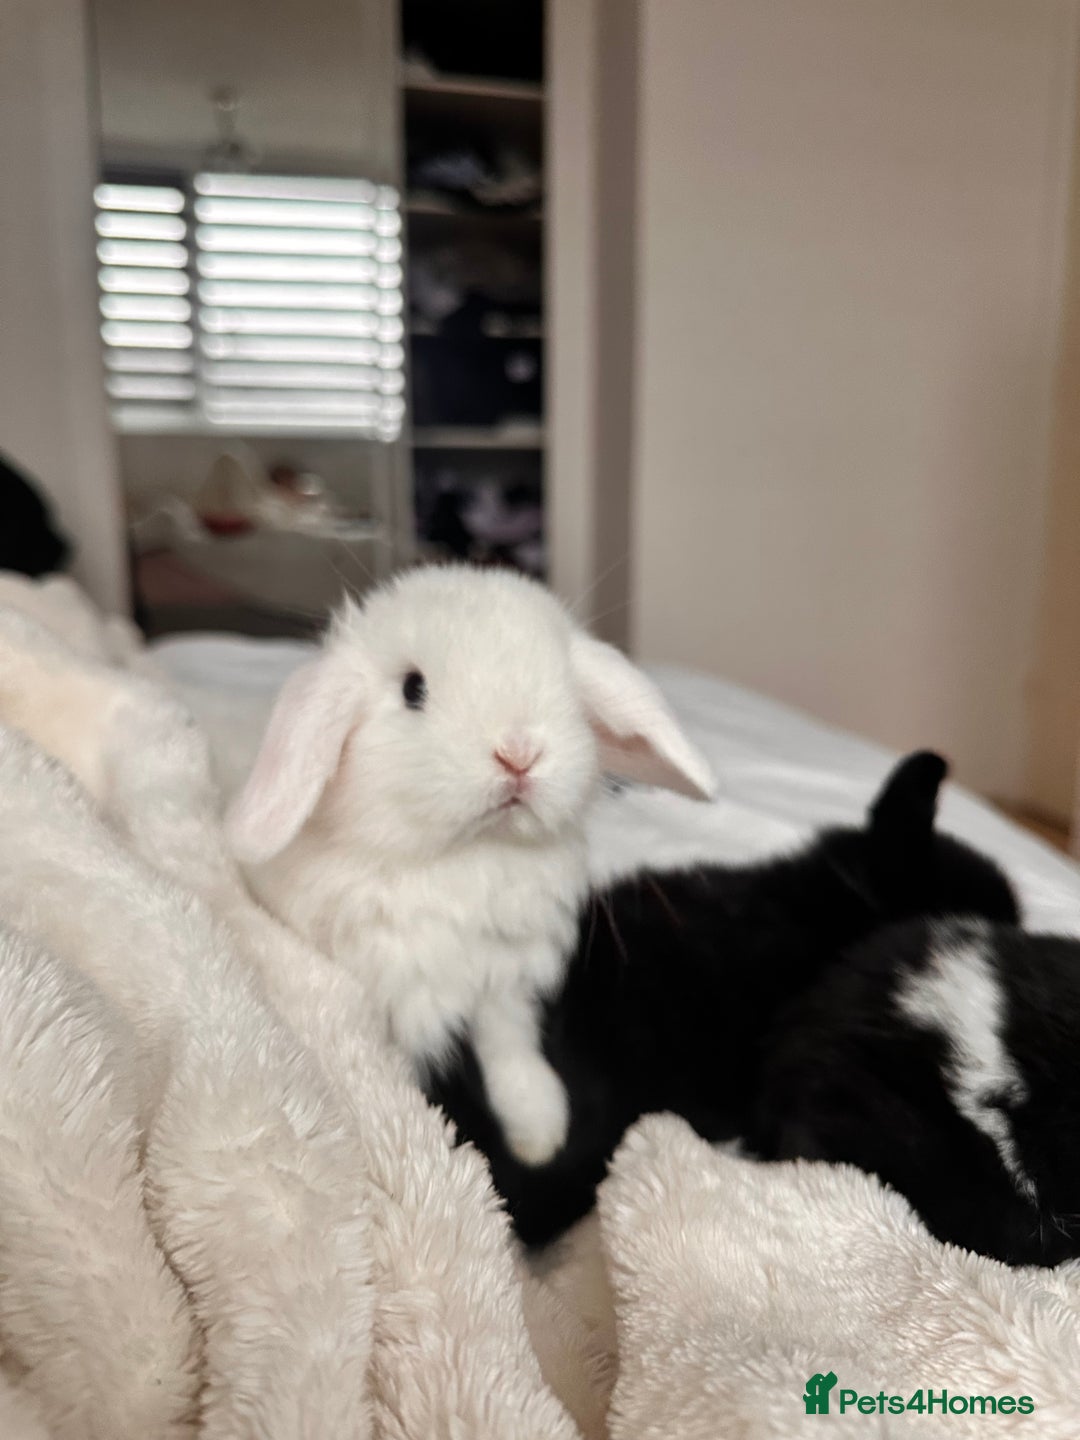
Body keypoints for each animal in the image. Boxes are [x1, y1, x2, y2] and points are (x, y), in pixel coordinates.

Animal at [225, 563, 714, 1168]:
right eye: (412, 689)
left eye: (567, 686)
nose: (519, 752)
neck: (466, 857)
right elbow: (396, 1083)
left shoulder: (503, 980)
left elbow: (511, 1051)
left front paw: (541, 1132)